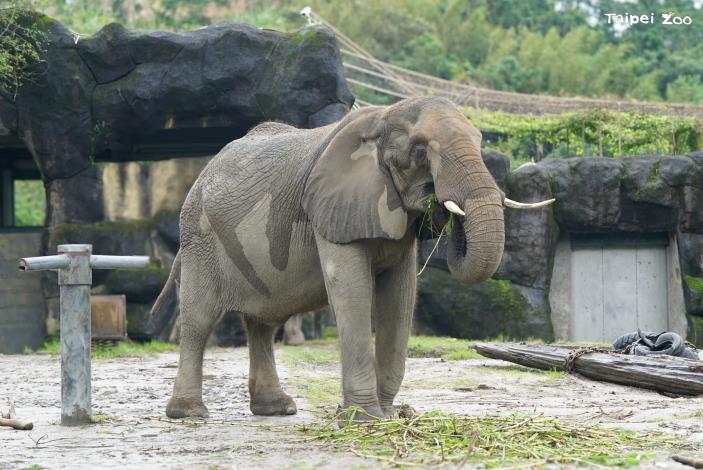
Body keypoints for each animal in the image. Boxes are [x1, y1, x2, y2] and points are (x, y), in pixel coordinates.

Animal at [151, 96, 554, 420]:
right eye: (420, 151)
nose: (439, 204)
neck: (381, 119)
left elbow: (400, 296)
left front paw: (390, 415)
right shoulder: (328, 209)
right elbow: (353, 289)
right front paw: (364, 418)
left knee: (263, 323)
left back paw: (277, 409)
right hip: (200, 237)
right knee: (200, 321)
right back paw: (190, 413)